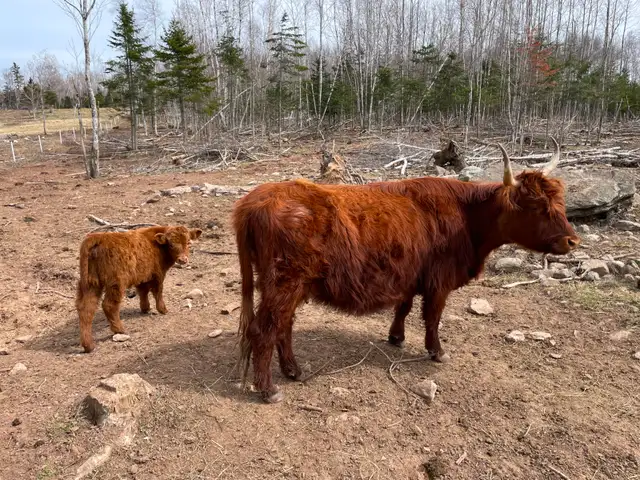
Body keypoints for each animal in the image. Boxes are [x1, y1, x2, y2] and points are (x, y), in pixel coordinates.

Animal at [232, 137, 580, 403]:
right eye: (537, 207)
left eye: (560, 203)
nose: (572, 240)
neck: (467, 217)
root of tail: (253, 201)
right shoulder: (440, 280)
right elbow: (433, 318)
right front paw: (437, 352)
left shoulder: (410, 273)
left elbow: (404, 306)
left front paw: (396, 337)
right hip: (285, 282)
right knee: (265, 329)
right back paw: (269, 389)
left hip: (288, 285)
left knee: (283, 326)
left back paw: (293, 370)